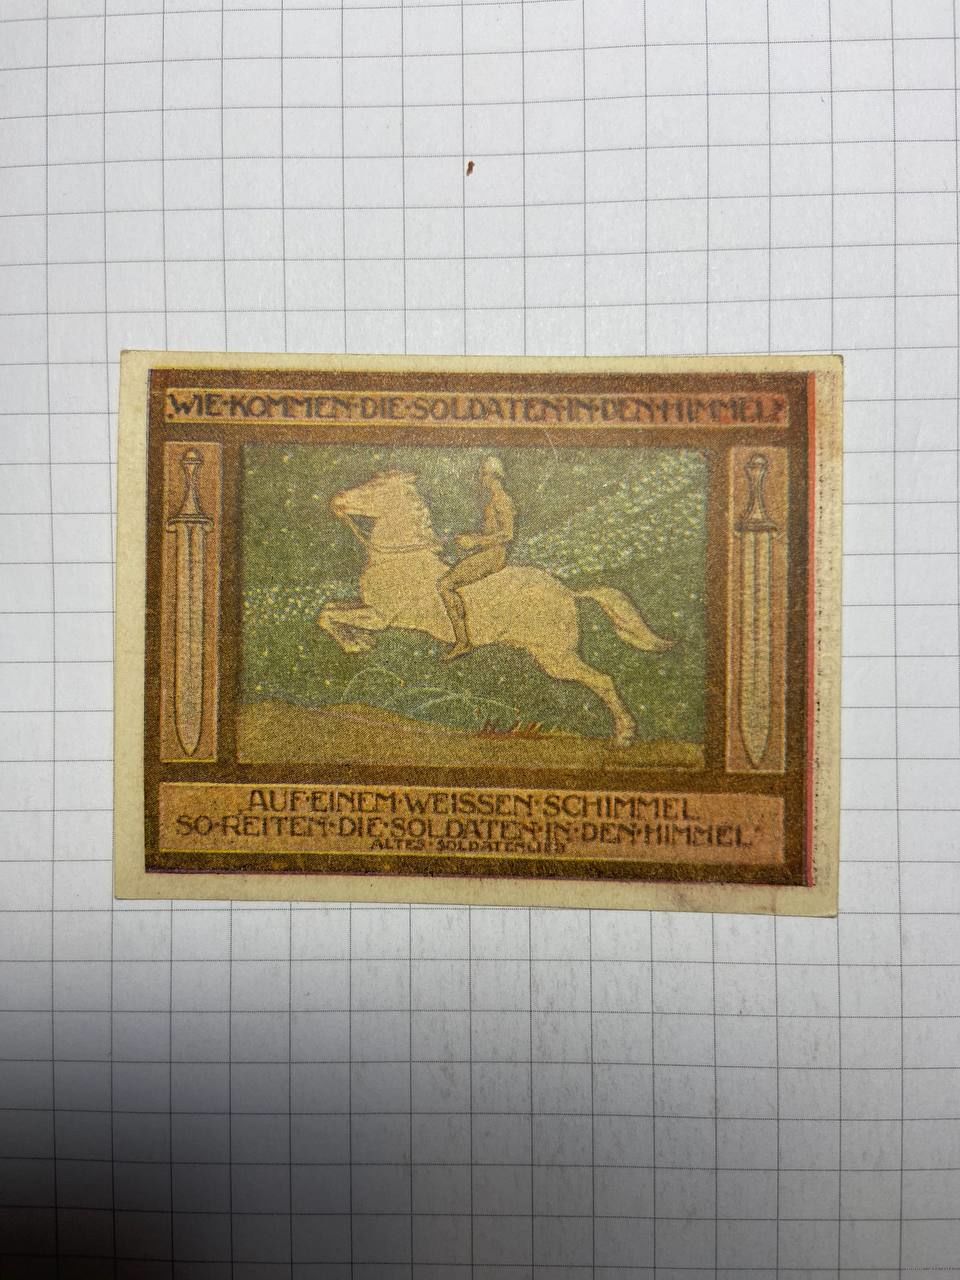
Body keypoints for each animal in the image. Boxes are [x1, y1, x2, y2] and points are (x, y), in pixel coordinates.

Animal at [317, 470, 672, 745]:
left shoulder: (382, 617)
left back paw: (624, 736)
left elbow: (327, 615)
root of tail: (569, 592)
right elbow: (329, 610)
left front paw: (354, 643)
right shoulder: (369, 609)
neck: (400, 558)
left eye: (374, 487)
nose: (337, 500)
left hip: (555, 657)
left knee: (603, 680)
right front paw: (357, 642)